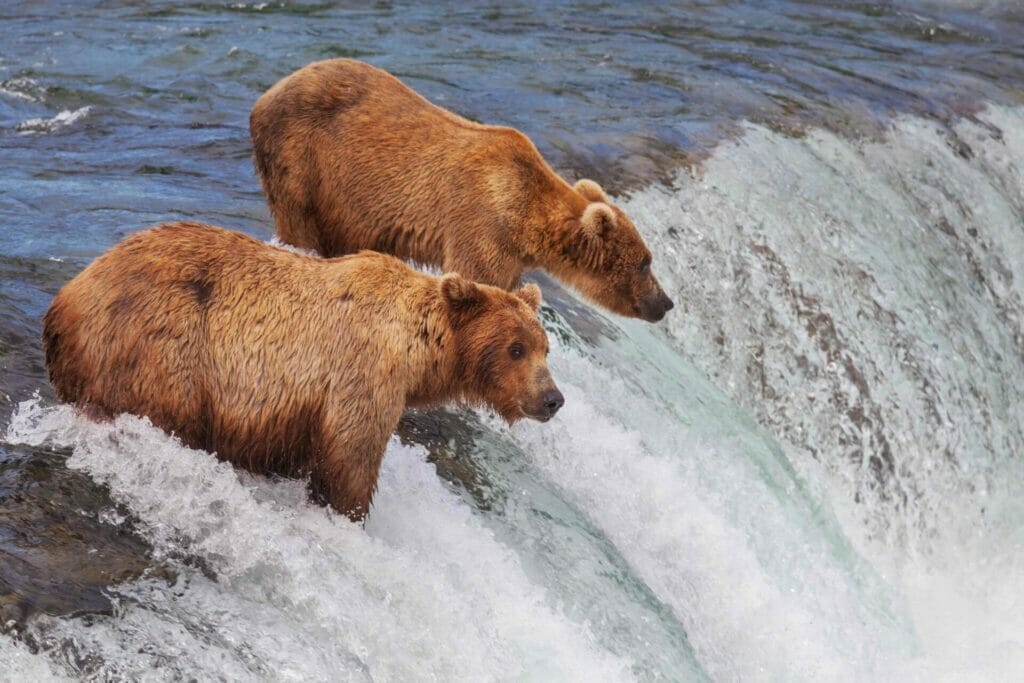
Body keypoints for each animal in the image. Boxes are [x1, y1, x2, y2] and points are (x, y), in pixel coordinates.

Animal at [44, 222, 565, 520]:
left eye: (545, 348)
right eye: (516, 349)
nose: (553, 399)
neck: (416, 351)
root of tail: (65, 299)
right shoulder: (362, 373)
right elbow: (350, 457)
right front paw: (346, 512)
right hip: (162, 349)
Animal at [250, 58, 675, 323]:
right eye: (645, 262)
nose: (666, 302)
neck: (526, 218)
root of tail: (267, 92)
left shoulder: (512, 253)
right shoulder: (482, 228)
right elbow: (478, 281)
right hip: (302, 158)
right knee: (299, 221)